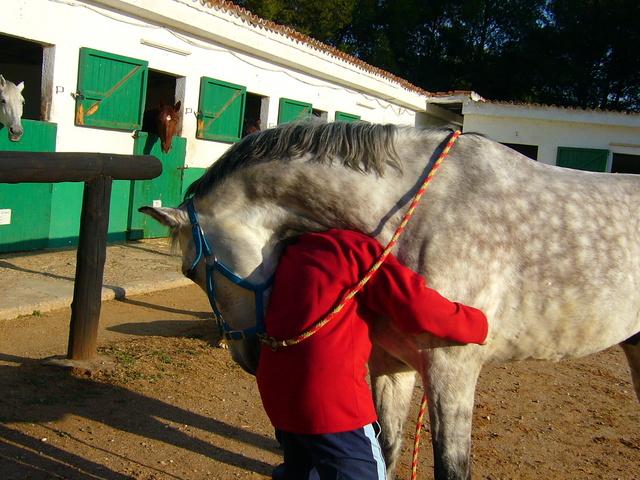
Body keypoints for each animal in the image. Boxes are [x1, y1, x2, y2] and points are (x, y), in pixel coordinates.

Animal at [141, 123, 640, 480]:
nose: (246, 357)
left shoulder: (452, 371)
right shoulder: (390, 363)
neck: (420, 215)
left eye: (191, 272)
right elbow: (388, 449)